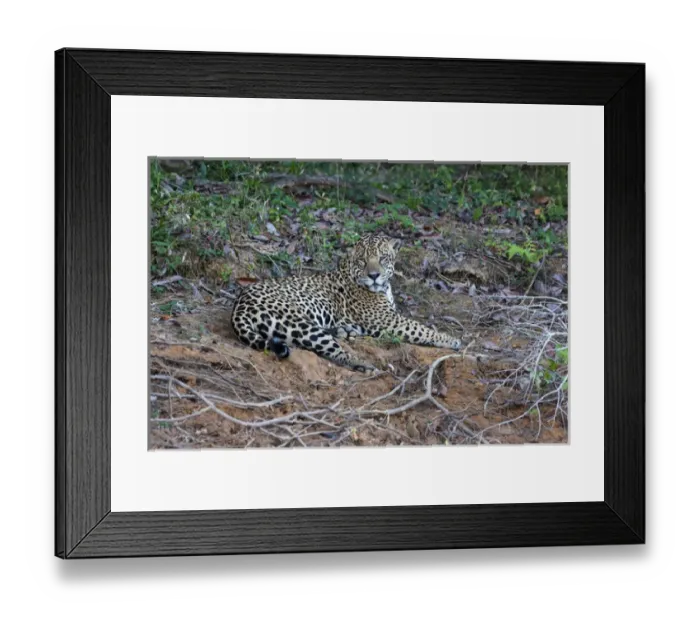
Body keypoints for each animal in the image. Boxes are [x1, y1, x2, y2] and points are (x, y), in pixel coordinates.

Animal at [230, 233, 462, 372]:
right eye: (362, 261)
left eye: (383, 258)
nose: (374, 275)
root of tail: (239, 305)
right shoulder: (387, 319)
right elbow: (420, 328)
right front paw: (450, 339)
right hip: (296, 320)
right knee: (332, 350)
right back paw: (361, 363)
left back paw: (346, 331)